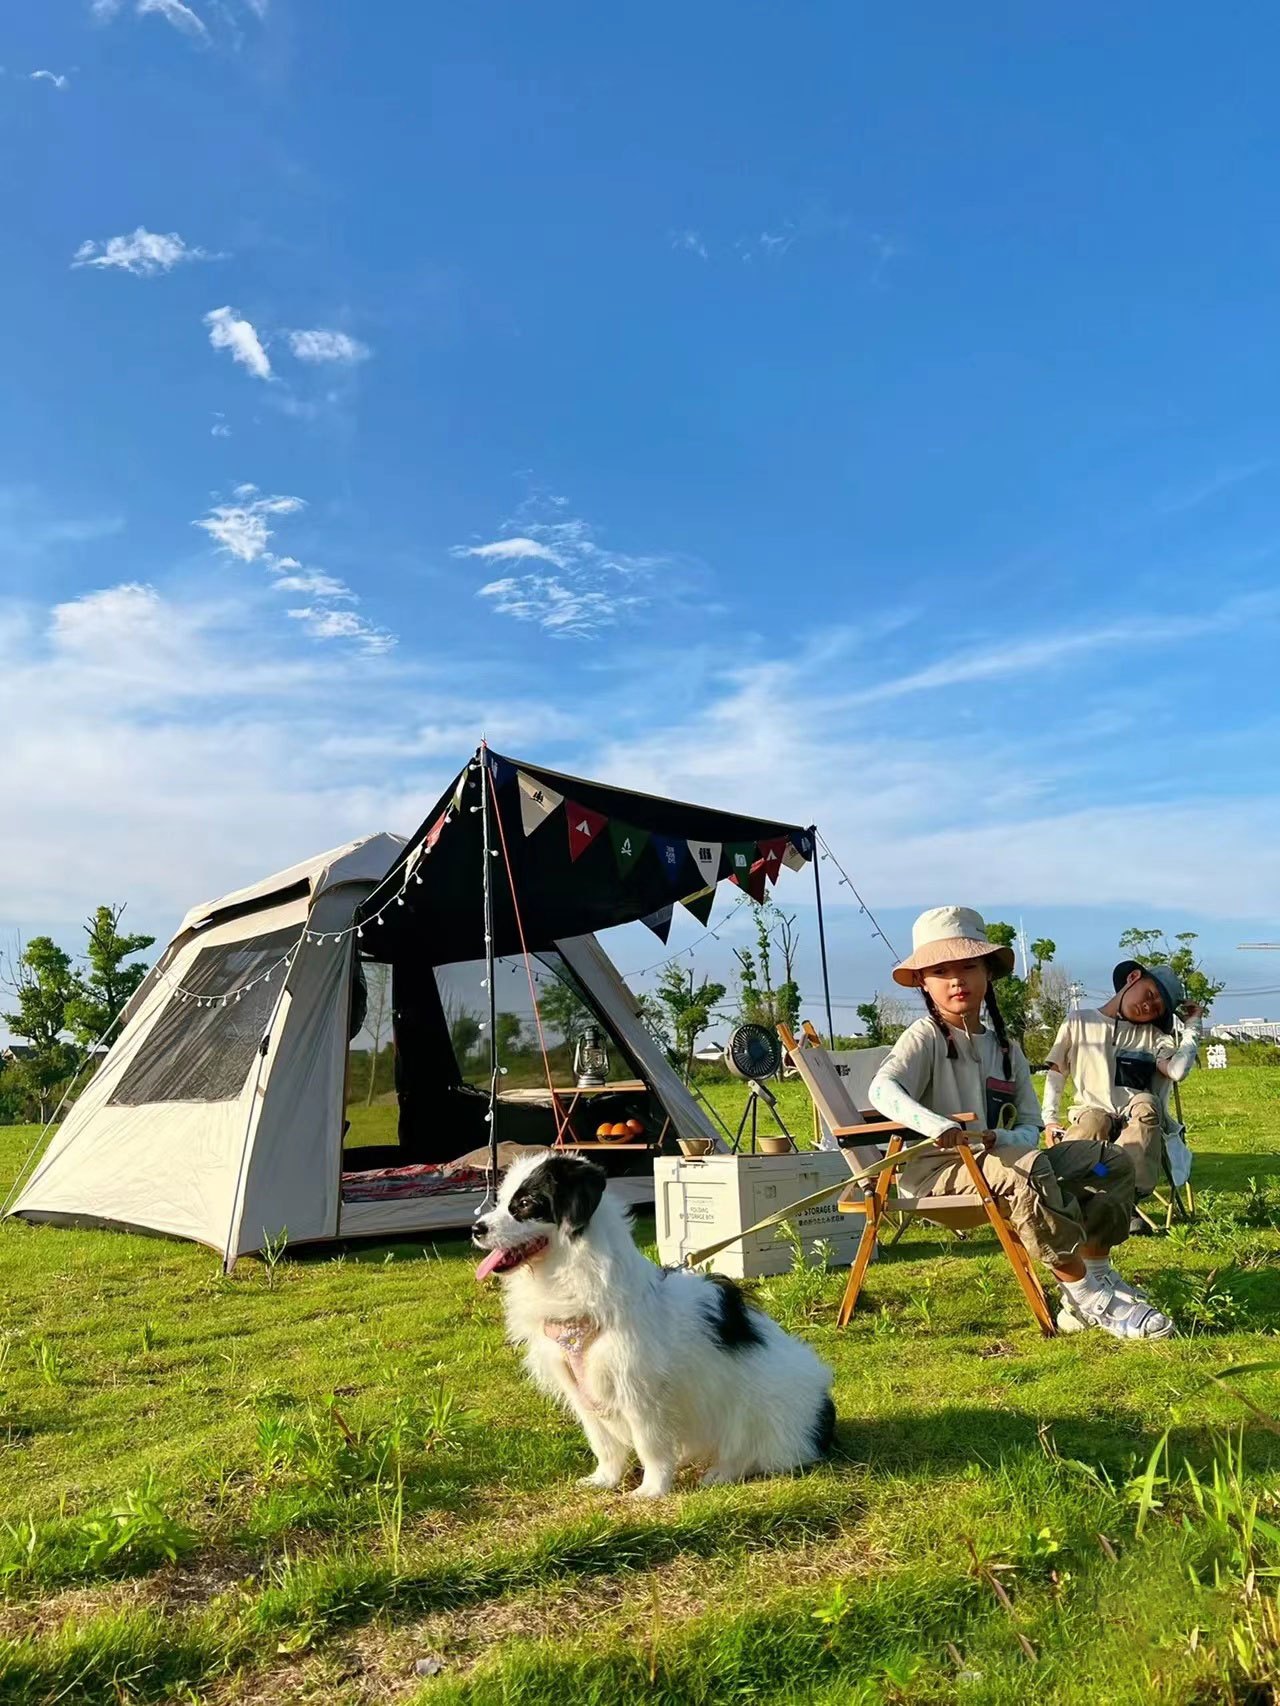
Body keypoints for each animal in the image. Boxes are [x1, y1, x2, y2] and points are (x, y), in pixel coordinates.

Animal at [474, 1151, 836, 1498]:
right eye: (500, 1200)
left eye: (525, 1203)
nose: (477, 1228)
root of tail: (822, 1411)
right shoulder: (580, 1389)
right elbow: (603, 1444)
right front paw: (605, 1479)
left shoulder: (641, 1393)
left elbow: (651, 1446)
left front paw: (652, 1489)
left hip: (755, 1410)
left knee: (750, 1450)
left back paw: (720, 1473)